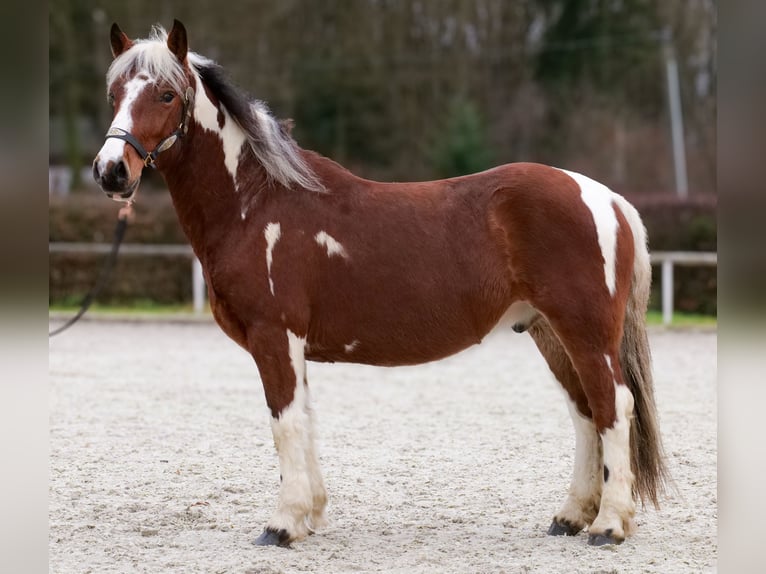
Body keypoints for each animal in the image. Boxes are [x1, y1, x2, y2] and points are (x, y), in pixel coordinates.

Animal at [92, 20, 669, 548]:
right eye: (114, 94)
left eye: (167, 94)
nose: (111, 171)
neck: (255, 203)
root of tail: (605, 198)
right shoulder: (293, 345)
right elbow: (304, 420)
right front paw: (310, 515)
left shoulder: (274, 335)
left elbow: (284, 422)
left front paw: (282, 524)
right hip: (551, 333)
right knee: (585, 412)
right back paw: (571, 517)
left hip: (585, 334)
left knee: (613, 407)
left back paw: (609, 526)